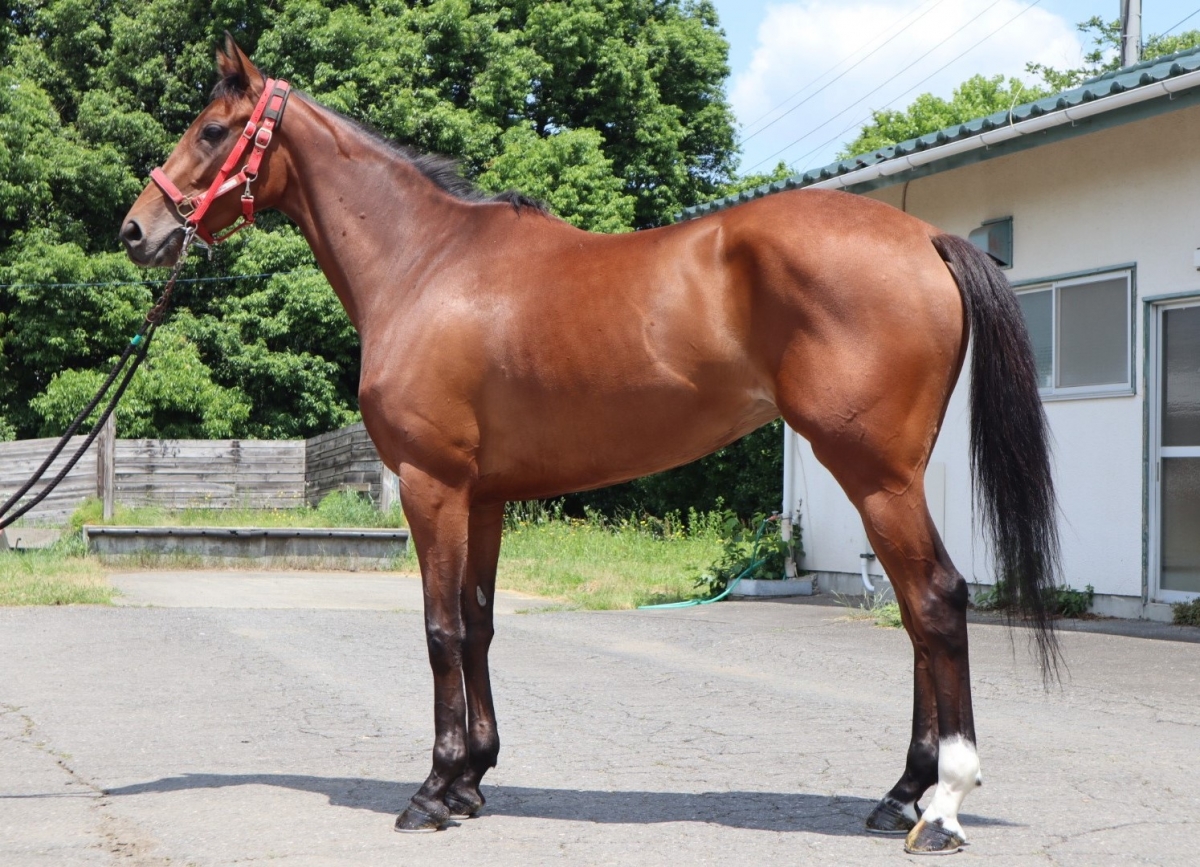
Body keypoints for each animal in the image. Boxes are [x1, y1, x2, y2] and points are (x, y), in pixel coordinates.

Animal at [119, 36, 1059, 855]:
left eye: (211, 130)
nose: (136, 230)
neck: (425, 263)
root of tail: (925, 237)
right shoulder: (486, 496)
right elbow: (479, 622)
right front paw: (472, 778)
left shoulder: (432, 485)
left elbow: (438, 629)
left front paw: (431, 791)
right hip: (893, 477)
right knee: (915, 611)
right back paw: (901, 791)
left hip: (873, 474)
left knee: (934, 600)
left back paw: (942, 804)